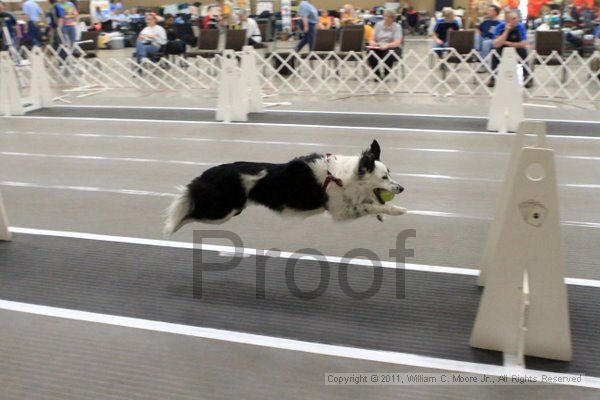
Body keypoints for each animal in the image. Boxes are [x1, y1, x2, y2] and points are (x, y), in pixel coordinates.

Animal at [166, 140, 406, 236]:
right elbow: (369, 206)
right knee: (188, 211)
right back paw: (172, 226)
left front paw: (383, 214)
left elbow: (369, 204)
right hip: (223, 211)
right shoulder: (340, 211)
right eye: (384, 177)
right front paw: (395, 210)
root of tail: (208, 174)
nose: (402, 188)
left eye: (390, 173)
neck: (342, 176)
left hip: (230, 211)